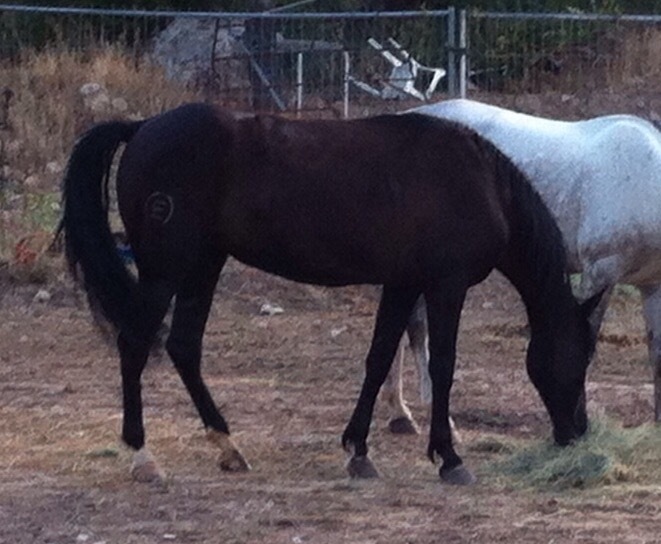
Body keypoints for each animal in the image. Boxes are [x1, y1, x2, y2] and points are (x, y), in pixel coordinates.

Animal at [61, 102, 600, 485]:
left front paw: (359, 451)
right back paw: (143, 458)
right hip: (166, 271)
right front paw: (448, 457)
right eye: (581, 355)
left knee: (183, 347)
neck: (482, 182)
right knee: (135, 346)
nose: (577, 432)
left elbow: (379, 358)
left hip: (202, 267)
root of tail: (141, 127)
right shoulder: (445, 286)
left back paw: (228, 447)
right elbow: (442, 366)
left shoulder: (402, 284)